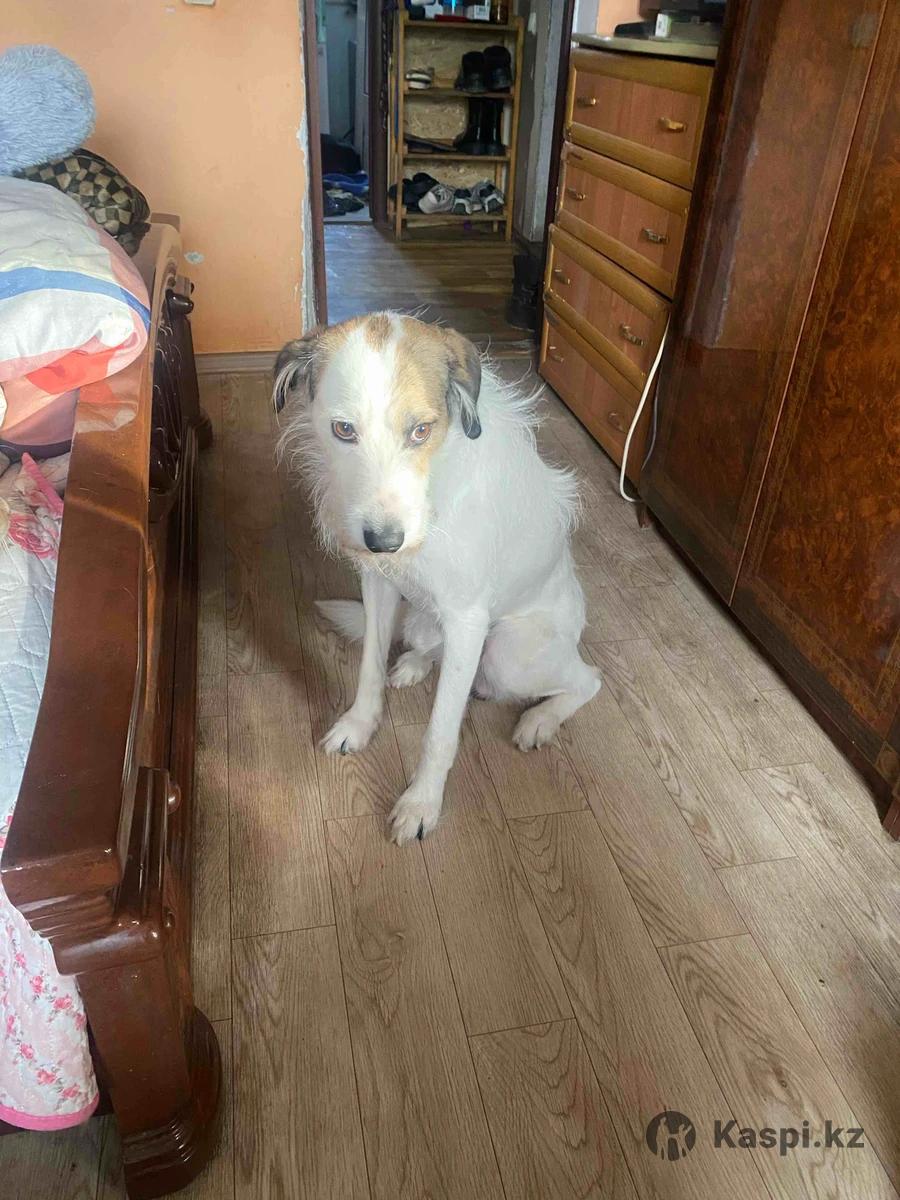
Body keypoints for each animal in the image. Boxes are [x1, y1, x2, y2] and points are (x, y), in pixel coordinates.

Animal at [274, 312, 600, 844]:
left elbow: (440, 731)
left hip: (509, 652)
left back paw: (540, 719)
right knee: (430, 646)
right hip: (422, 620)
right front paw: (358, 725)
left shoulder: (468, 620)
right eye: (343, 430)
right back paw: (415, 663)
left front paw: (421, 803)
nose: (383, 542)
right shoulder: (379, 585)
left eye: (421, 430)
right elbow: (368, 669)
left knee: (587, 680)